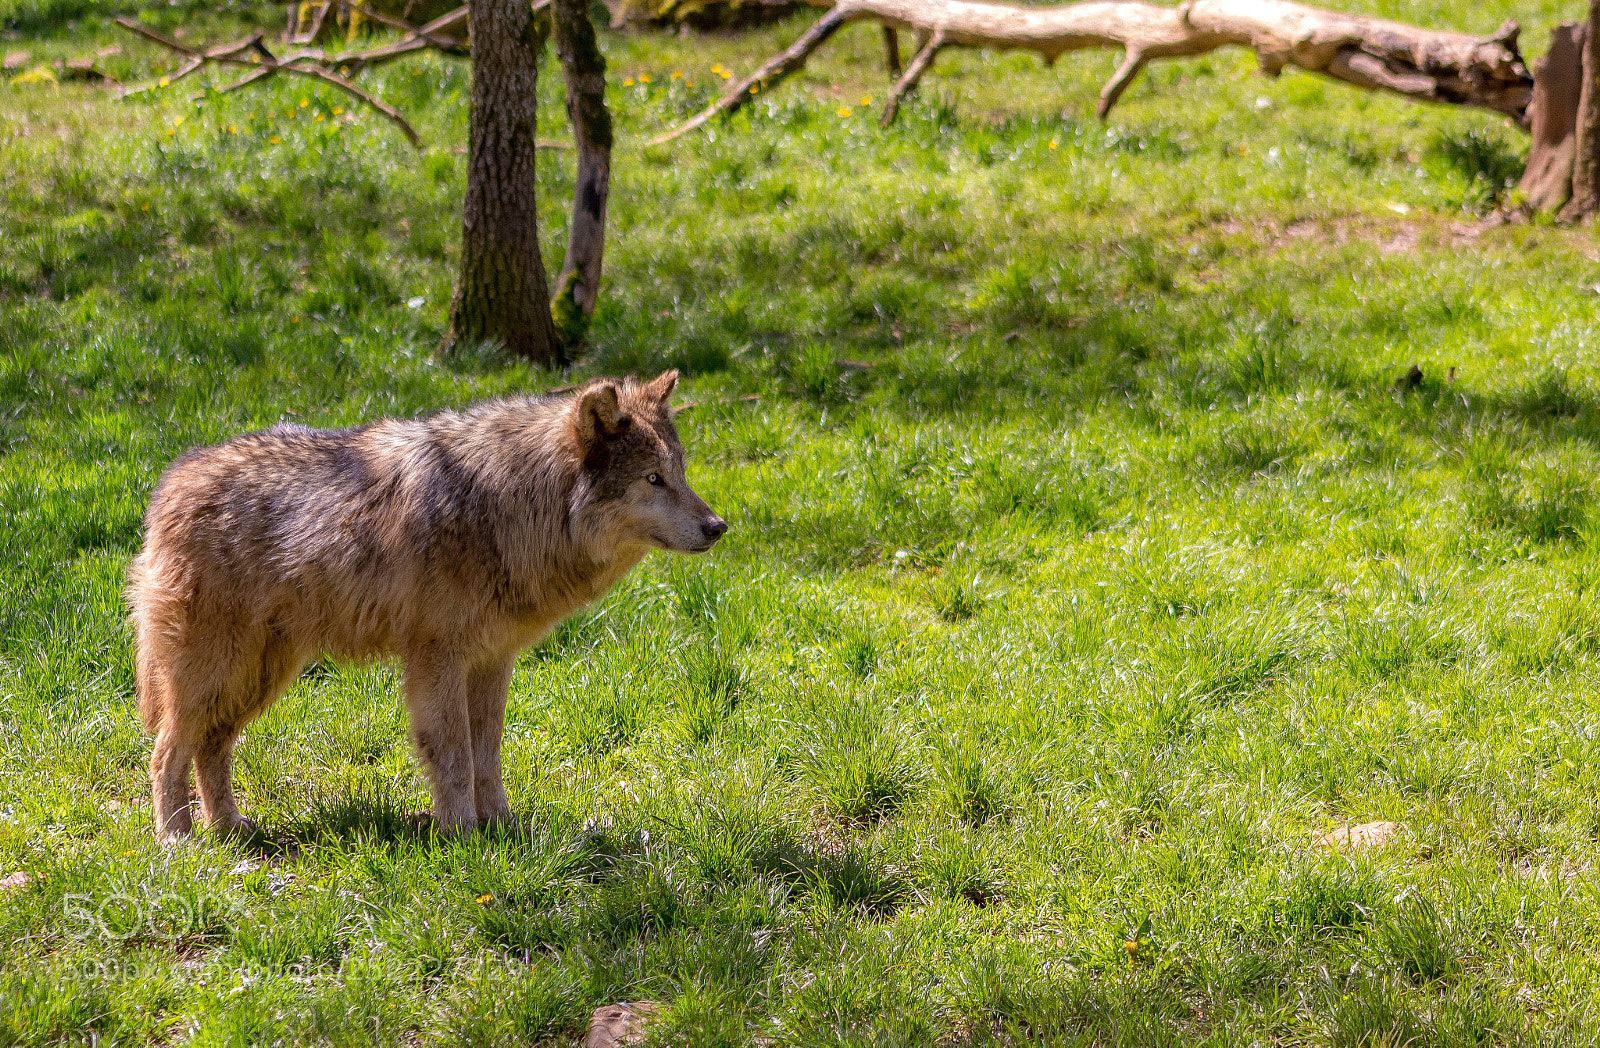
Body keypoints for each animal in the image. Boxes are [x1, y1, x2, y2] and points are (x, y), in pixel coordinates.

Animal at [127, 370, 724, 841]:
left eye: (681, 473)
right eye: (653, 479)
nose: (718, 527)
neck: (509, 503)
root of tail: (167, 485)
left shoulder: (492, 661)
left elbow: (487, 753)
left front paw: (501, 826)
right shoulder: (437, 659)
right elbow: (453, 753)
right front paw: (462, 836)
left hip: (257, 676)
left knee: (210, 748)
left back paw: (229, 827)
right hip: (215, 673)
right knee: (164, 752)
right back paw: (178, 839)